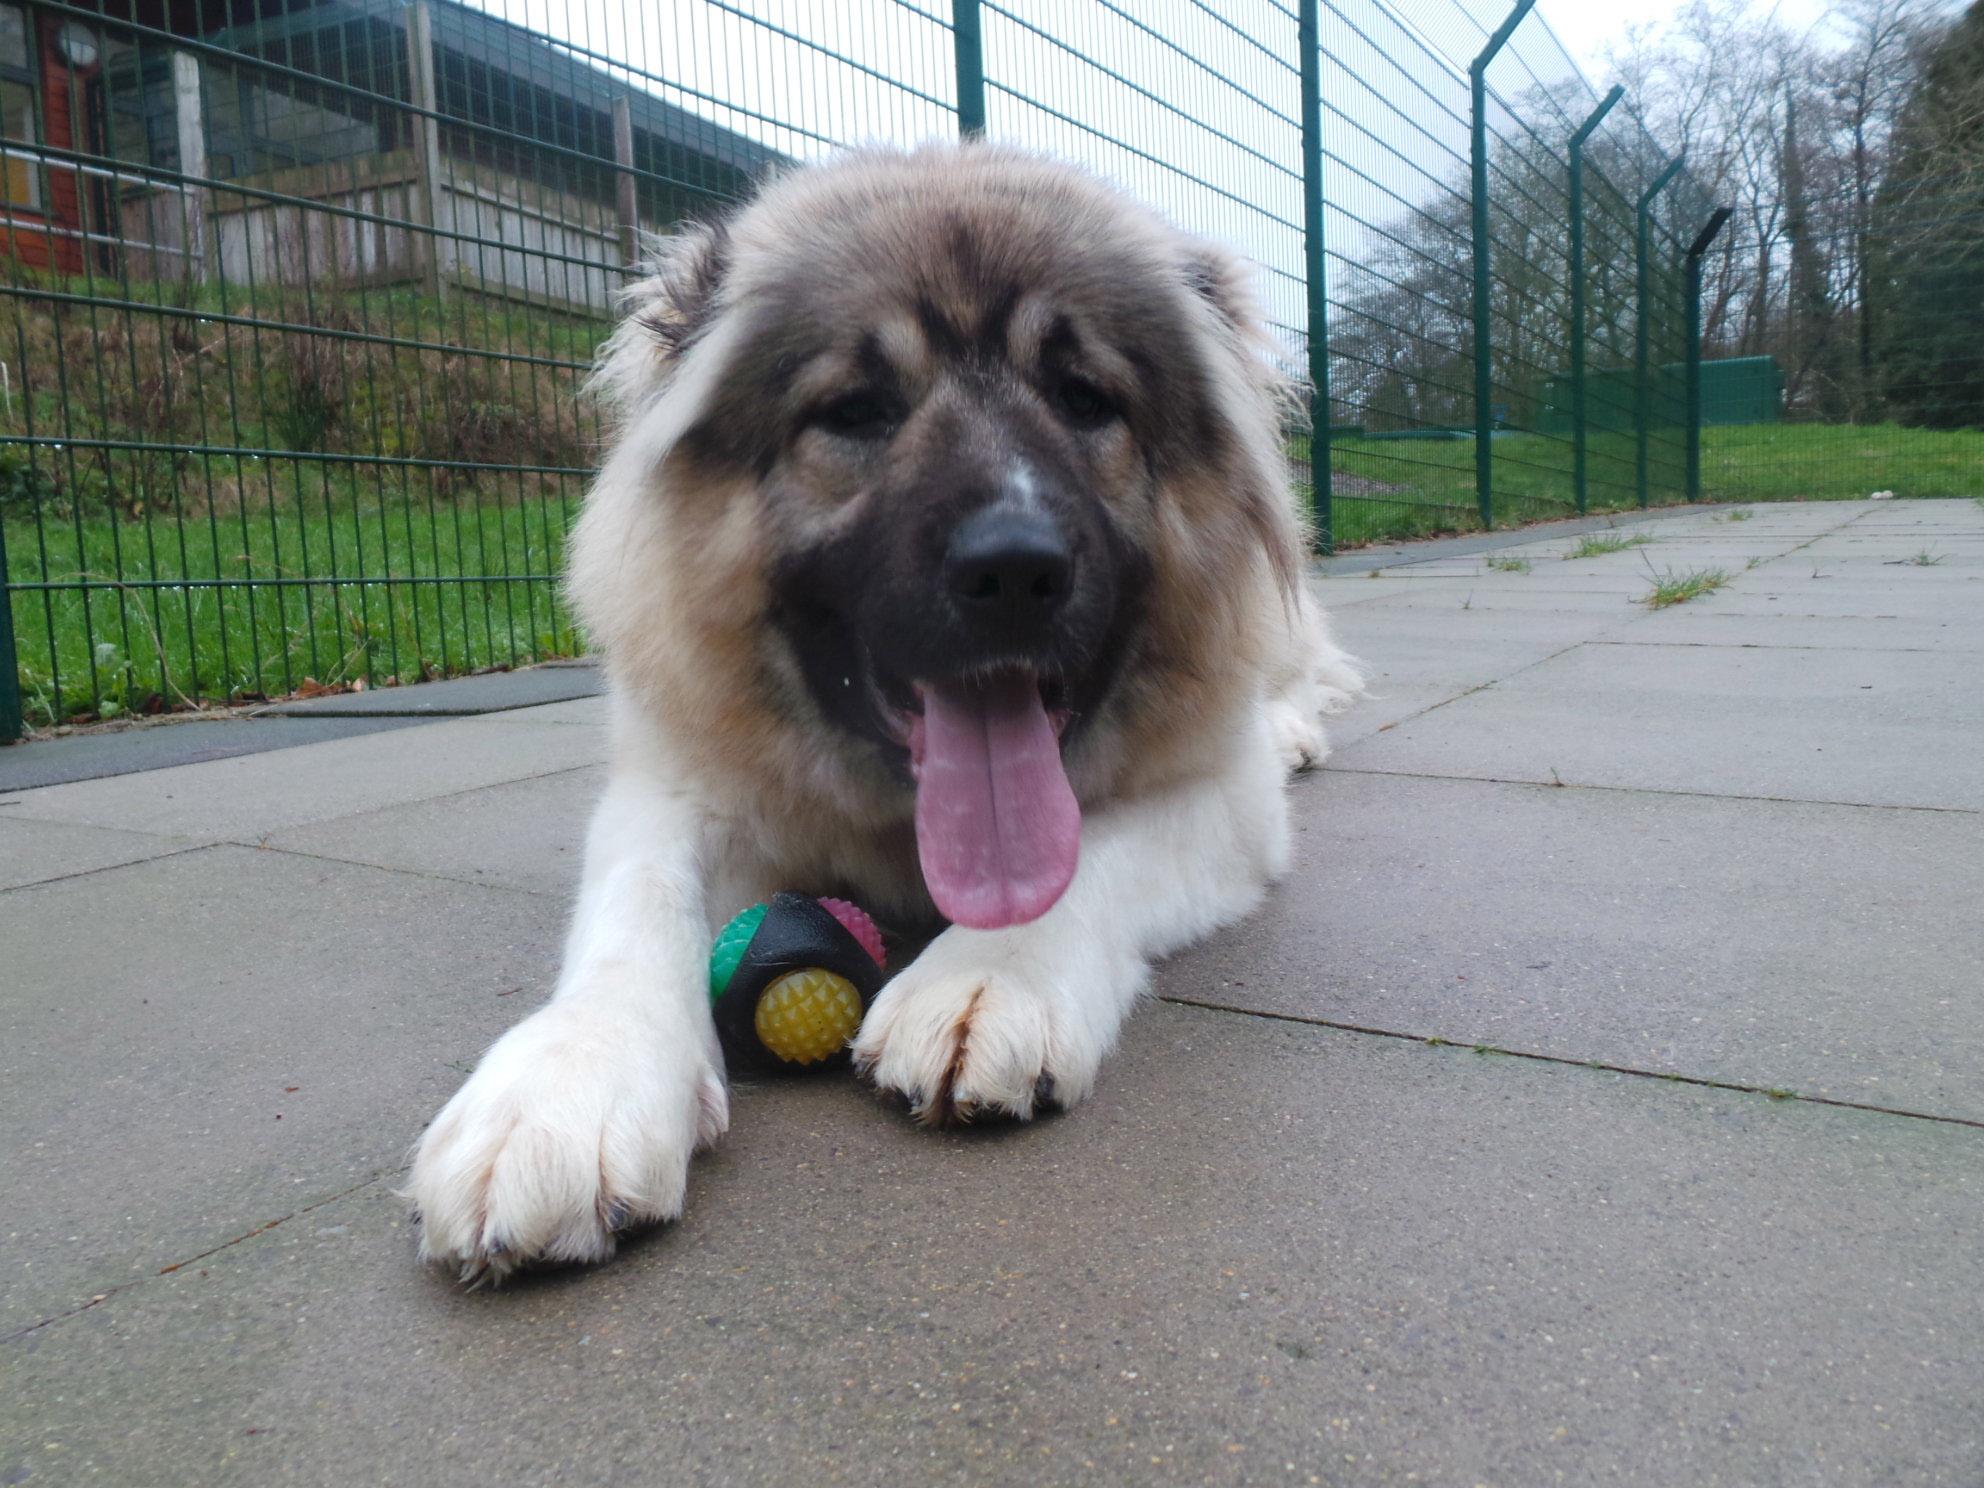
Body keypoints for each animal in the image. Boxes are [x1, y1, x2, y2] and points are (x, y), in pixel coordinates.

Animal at [402, 142, 1364, 1285]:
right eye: (857, 411)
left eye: (1084, 398)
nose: (1015, 569)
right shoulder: (672, 790)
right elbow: (635, 909)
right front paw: (565, 1086)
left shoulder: (1220, 796)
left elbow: (1096, 852)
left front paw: (989, 975)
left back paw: (1296, 729)